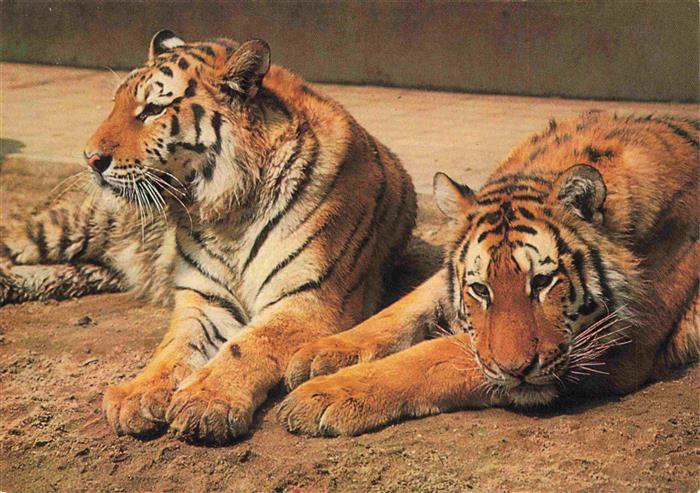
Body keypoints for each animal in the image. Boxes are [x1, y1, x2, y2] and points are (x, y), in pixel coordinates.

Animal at [0, 30, 417, 444]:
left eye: (153, 110)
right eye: (115, 104)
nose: (90, 158)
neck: (230, 214)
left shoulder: (309, 300)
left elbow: (246, 346)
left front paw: (205, 400)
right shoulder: (203, 299)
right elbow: (172, 349)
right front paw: (138, 394)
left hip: (87, 266)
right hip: (63, 228)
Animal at [279, 111, 699, 437]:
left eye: (542, 282)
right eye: (480, 289)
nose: (518, 371)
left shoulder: (618, 344)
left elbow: (439, 354)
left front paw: (325, 394)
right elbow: (402, 309)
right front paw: (321, 352)